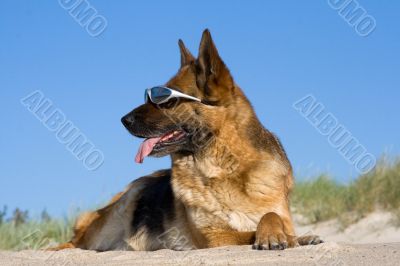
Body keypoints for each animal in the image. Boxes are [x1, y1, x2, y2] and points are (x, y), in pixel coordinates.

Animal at [50, 29, 322, 251]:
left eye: (166, 101)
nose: (123, 120)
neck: (225, 168)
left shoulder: (279, 214)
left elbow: (272, 217)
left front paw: (295, 236)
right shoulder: (215, 237)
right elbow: (253, 229)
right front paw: (275, 236)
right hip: (124, 204)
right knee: (74, 244)